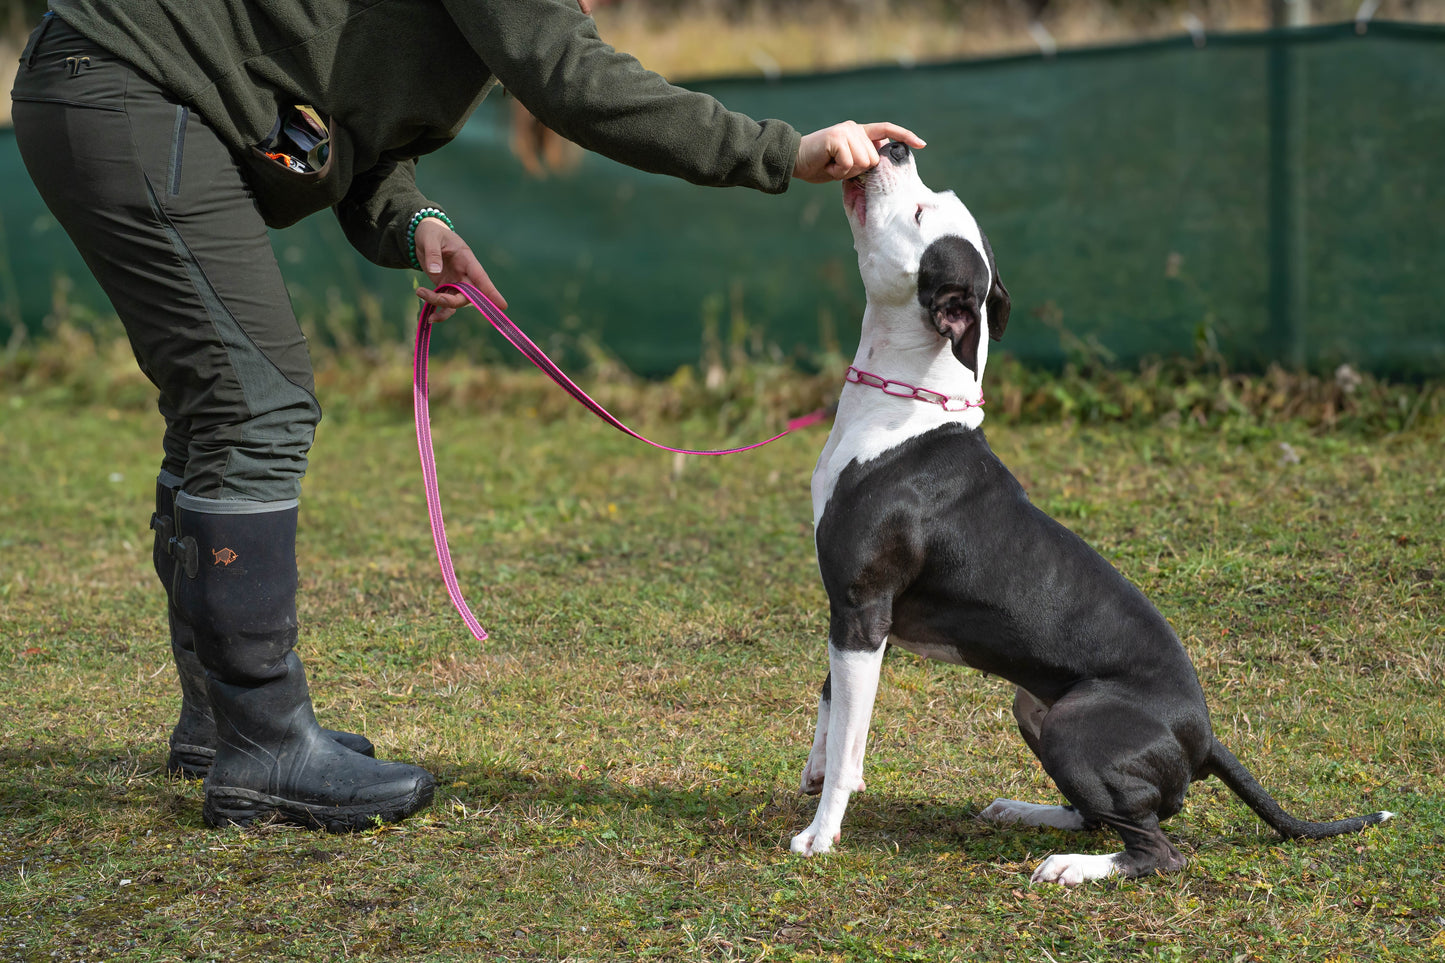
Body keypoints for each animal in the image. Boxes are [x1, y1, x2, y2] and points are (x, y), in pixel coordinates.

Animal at [791, 138, 1387, 879]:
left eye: (922, 209)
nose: (894, 145)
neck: (907, 406)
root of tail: (1204, 734)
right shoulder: (851, 614)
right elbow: (830, 706)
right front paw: (815, 772)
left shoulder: (863, 606)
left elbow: (851, 739)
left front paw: (822, 830)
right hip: (1035, 706)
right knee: (1100, 812)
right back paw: (1028, 814)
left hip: (1075, 724)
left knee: (1156, 849)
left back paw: (1074, 866)